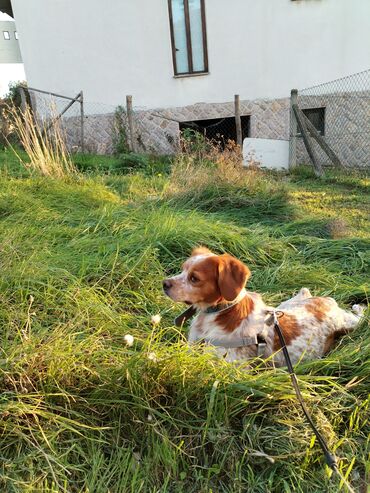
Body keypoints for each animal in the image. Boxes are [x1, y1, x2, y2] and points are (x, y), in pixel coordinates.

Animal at [163, 246, 364, 366]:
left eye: (194, 278)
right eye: (182, 269)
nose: (164, 283)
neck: (220, 312)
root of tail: (324, 301)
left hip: (351, 323)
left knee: (362, 315)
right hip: (284, 305)